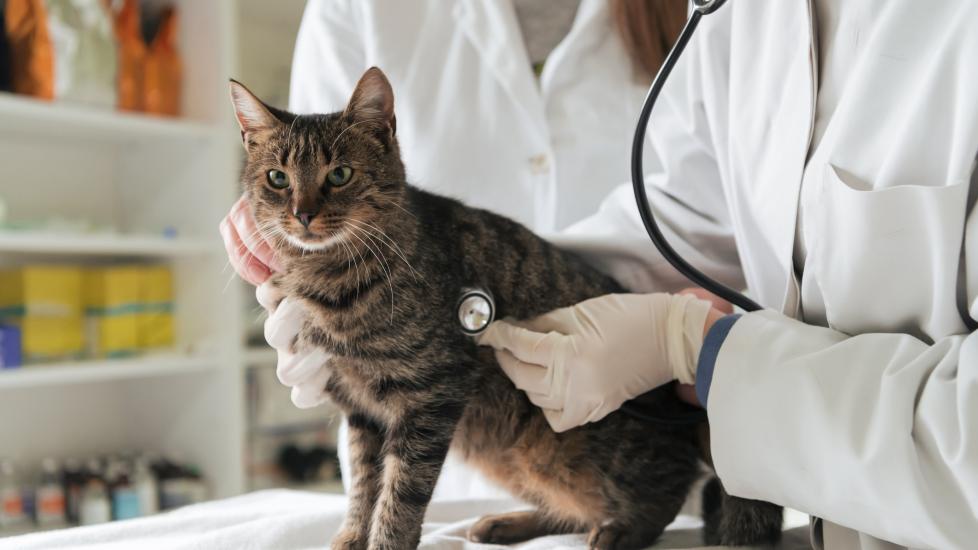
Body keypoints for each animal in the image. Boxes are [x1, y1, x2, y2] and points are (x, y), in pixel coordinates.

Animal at [227, 67, 776, 548]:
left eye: (339, 174)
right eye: (278, 178)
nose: (302, 213)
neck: (325, 278)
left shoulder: (432, 396)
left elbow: (399, 495)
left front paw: (385, 542)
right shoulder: (361, 412)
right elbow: (363, 488)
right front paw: (350, 538)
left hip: (569, 445)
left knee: (670, 487)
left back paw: (622, 530)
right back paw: (508, 523)